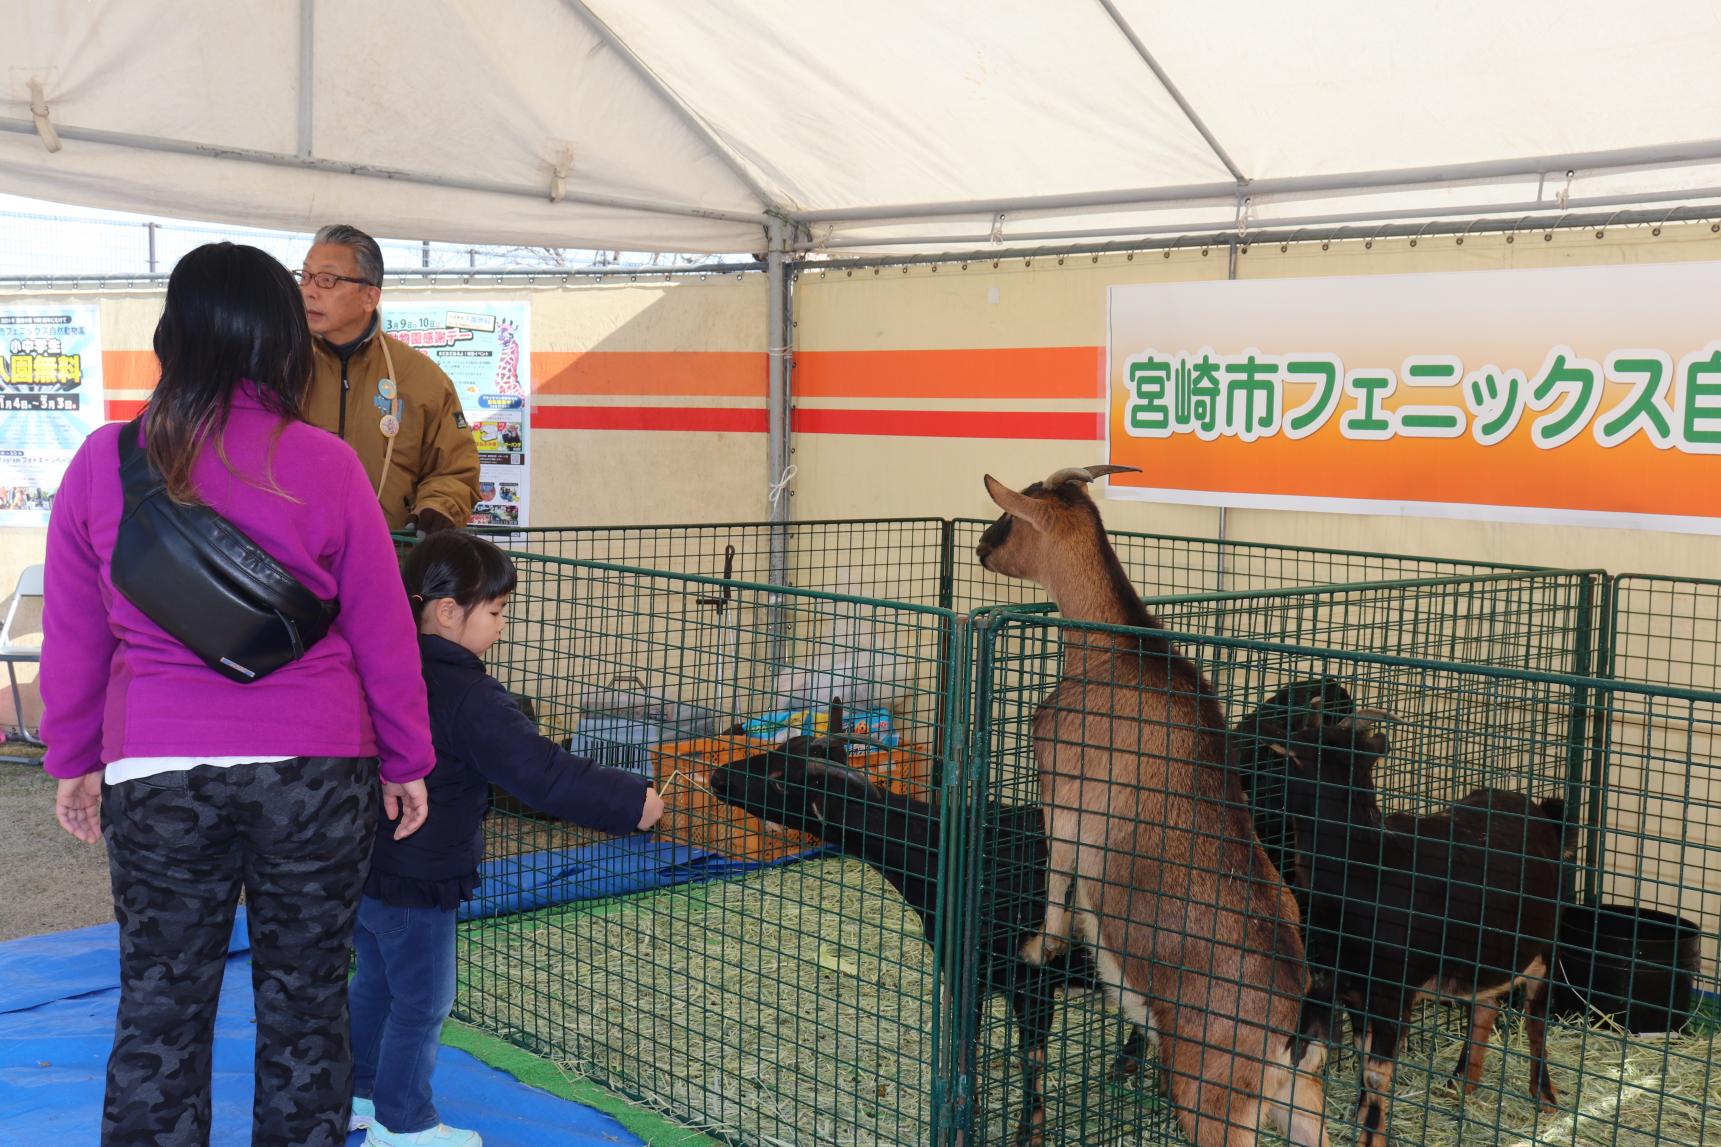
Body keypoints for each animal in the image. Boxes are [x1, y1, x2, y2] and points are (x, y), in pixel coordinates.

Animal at [705, 719, 1149, 1136]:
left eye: (782, 781)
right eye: (782, 748)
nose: (718, 778)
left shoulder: (1031, 980)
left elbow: (1031, 1061)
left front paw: (1027, 1133)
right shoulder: (965, 971)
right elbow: (966, 1040)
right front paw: (969, 1111)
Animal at [970, 465, 1328, 1143]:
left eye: (1011, 514)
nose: (980, 546)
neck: (1114, 648)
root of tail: (1294, 1025)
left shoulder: (1061, 786)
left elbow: (1060, 875)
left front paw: (1041, 947)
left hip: (1213, 1098)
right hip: (1298, 1097)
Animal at [1280, 716, 1576, 1143]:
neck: (1367, 864)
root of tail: (1541, 814)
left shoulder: (1393, 990)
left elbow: (1376, 1072)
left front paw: (1372, 1136)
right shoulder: (1353, 987)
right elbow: (1363, 1058)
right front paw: (1360, 1121)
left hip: (1543, 943)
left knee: (1536, 1013)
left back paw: (1545, 1097)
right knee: (1484, 1005)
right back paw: (1460, 1083)